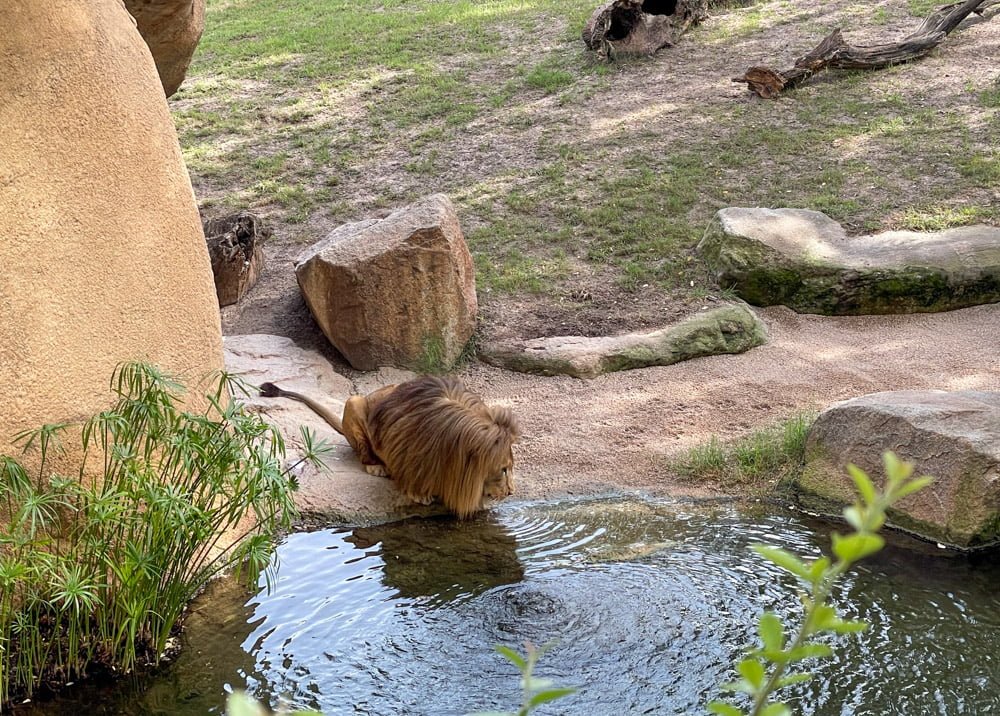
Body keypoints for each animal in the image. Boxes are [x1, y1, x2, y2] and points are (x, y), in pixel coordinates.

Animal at [258, 375, 519, 519]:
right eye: (503, 469)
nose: (511, 492)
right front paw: (420, 493)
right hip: (353, 402)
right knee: (363, 454)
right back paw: (377, 467)